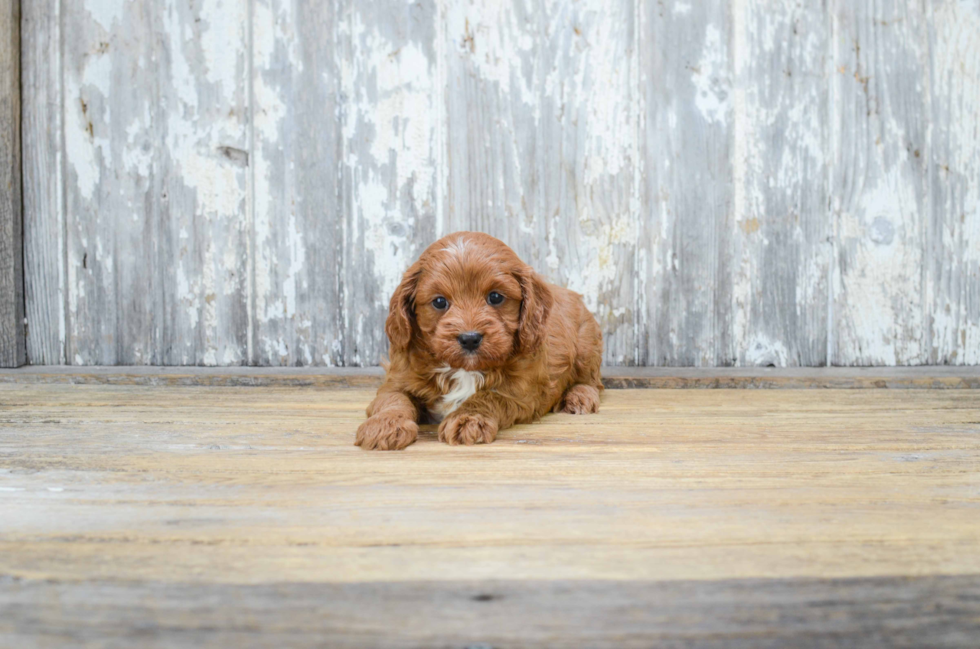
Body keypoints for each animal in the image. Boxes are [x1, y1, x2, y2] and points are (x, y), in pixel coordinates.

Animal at [358, 233, 604, 450]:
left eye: (495, 297)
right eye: (439, 302)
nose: (469, 339)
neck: (463, 369)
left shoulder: (522, 390)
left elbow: (488, 396)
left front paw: (467, 419)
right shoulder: (398, 379)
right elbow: (393, 399)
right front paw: (385, 425)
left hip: (586, 345)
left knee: (592, 381)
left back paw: (579, 397)